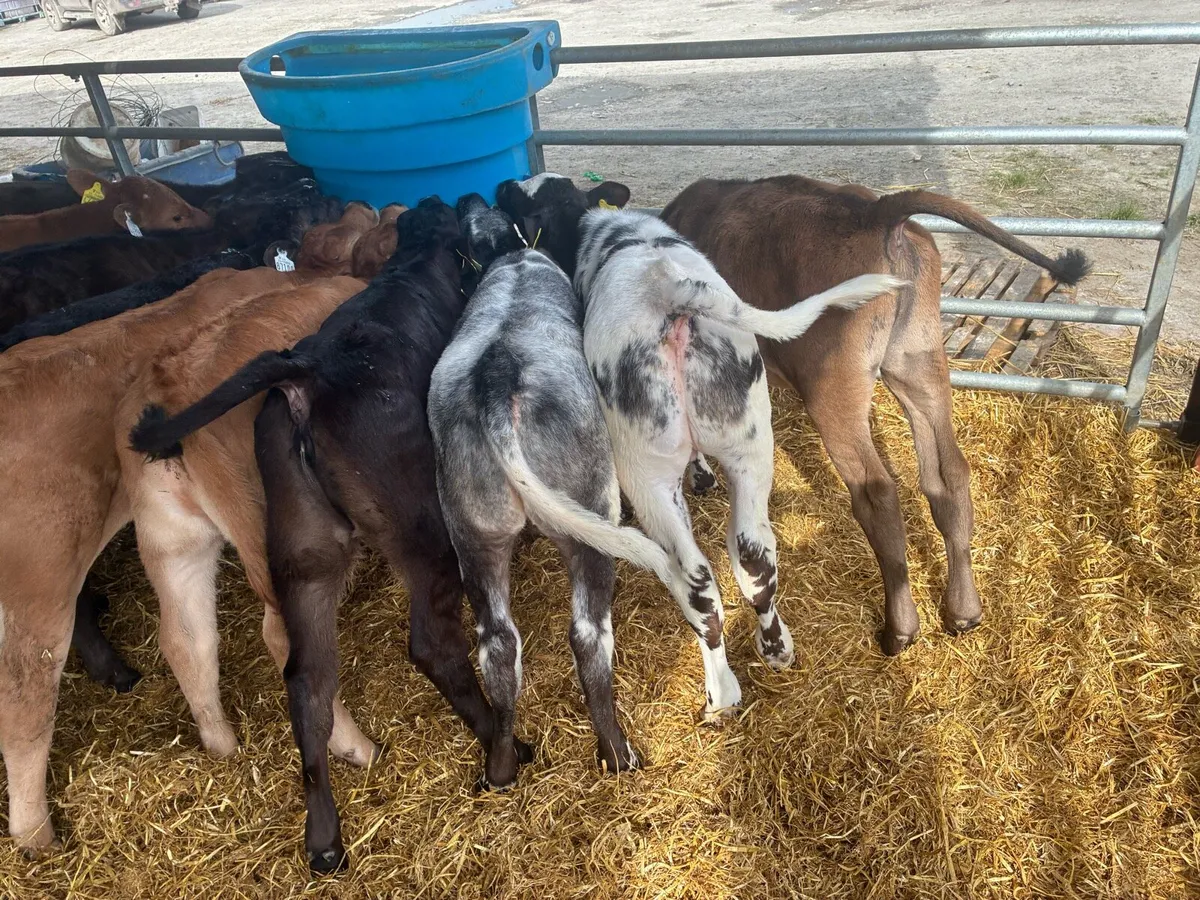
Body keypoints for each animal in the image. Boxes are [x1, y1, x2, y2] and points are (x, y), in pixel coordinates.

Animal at [495, 173, 902, 717]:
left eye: (525, 200)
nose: (501, 185)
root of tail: (668, 287)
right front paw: (703, 474)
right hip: (751, 446)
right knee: (754, 557)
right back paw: (776, 647)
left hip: (646, 474)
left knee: (698, 582)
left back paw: (721, 692)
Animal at [660, 175, 1089, 655]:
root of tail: (877, 213)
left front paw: (699, 473)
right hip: (917, 361)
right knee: (948, 474)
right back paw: (962, 609)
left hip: (833, 388)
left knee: (877, 492)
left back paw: (899, 628)